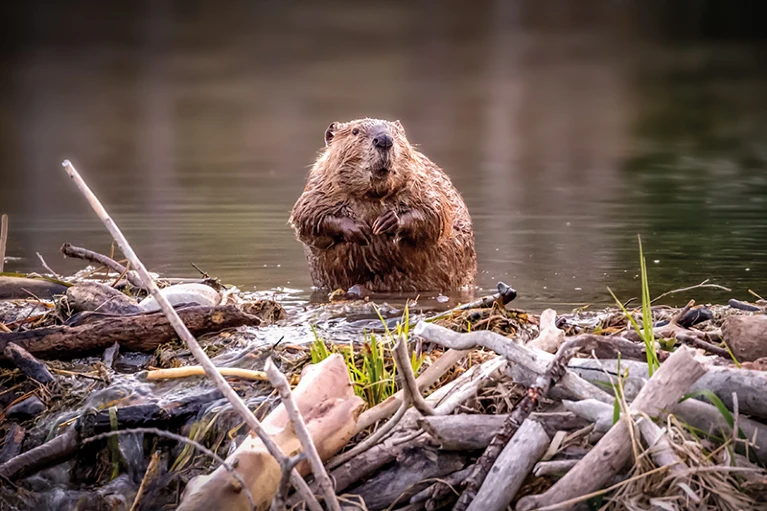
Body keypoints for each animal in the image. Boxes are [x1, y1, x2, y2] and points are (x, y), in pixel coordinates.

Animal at [292, 117, 476, 292]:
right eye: (355, 131)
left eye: (395, 132)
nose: (384, 139)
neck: (373, 195)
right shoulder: (318, 187)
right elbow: (307, 218)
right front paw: (359, 229)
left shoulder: (423, 181)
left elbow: (435, 213)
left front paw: (387, 222)